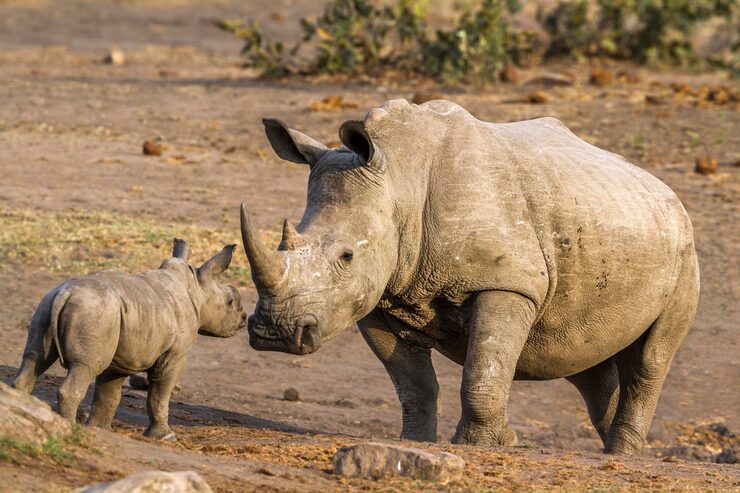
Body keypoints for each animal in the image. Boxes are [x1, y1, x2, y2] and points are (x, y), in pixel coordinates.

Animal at [12, 239, 247, 439]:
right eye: (230, 302)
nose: (244, 319)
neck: (197, 289)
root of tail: (66, 293)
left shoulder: (122, 354)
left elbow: (109, 393)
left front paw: (100, 428)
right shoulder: (174, 355)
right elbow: (160, 394)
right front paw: (166, 436)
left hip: (53, 305)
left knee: (34, 358)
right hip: (94, 313)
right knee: (83, 367)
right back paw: (68, 426)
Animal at [240, 99, 699, 455]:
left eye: (347, 256)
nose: (274, 333)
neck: (401, 182)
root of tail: (667, 192)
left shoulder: (507, 281)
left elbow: (481, 374)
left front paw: (479, 445)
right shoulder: (377, 295)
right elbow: (414, 384)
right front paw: (416, 443)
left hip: (684, 249)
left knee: (651, 358)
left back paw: (623, 454)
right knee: (585, 358)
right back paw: (611, 450)